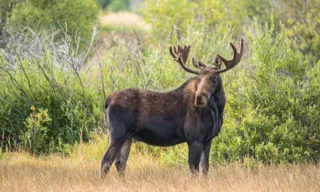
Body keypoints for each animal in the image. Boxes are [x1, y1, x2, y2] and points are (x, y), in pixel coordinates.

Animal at [101, 39, 244, 177]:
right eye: (199, 78)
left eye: (214, 77)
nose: (199, 97)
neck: (216, 111)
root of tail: (107, 100)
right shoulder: (194, 139)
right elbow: (194, 171)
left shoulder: (208, 140)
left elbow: (205, 169)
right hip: (117, 134)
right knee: (106, 161)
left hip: (128, 138)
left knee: (120, 163)